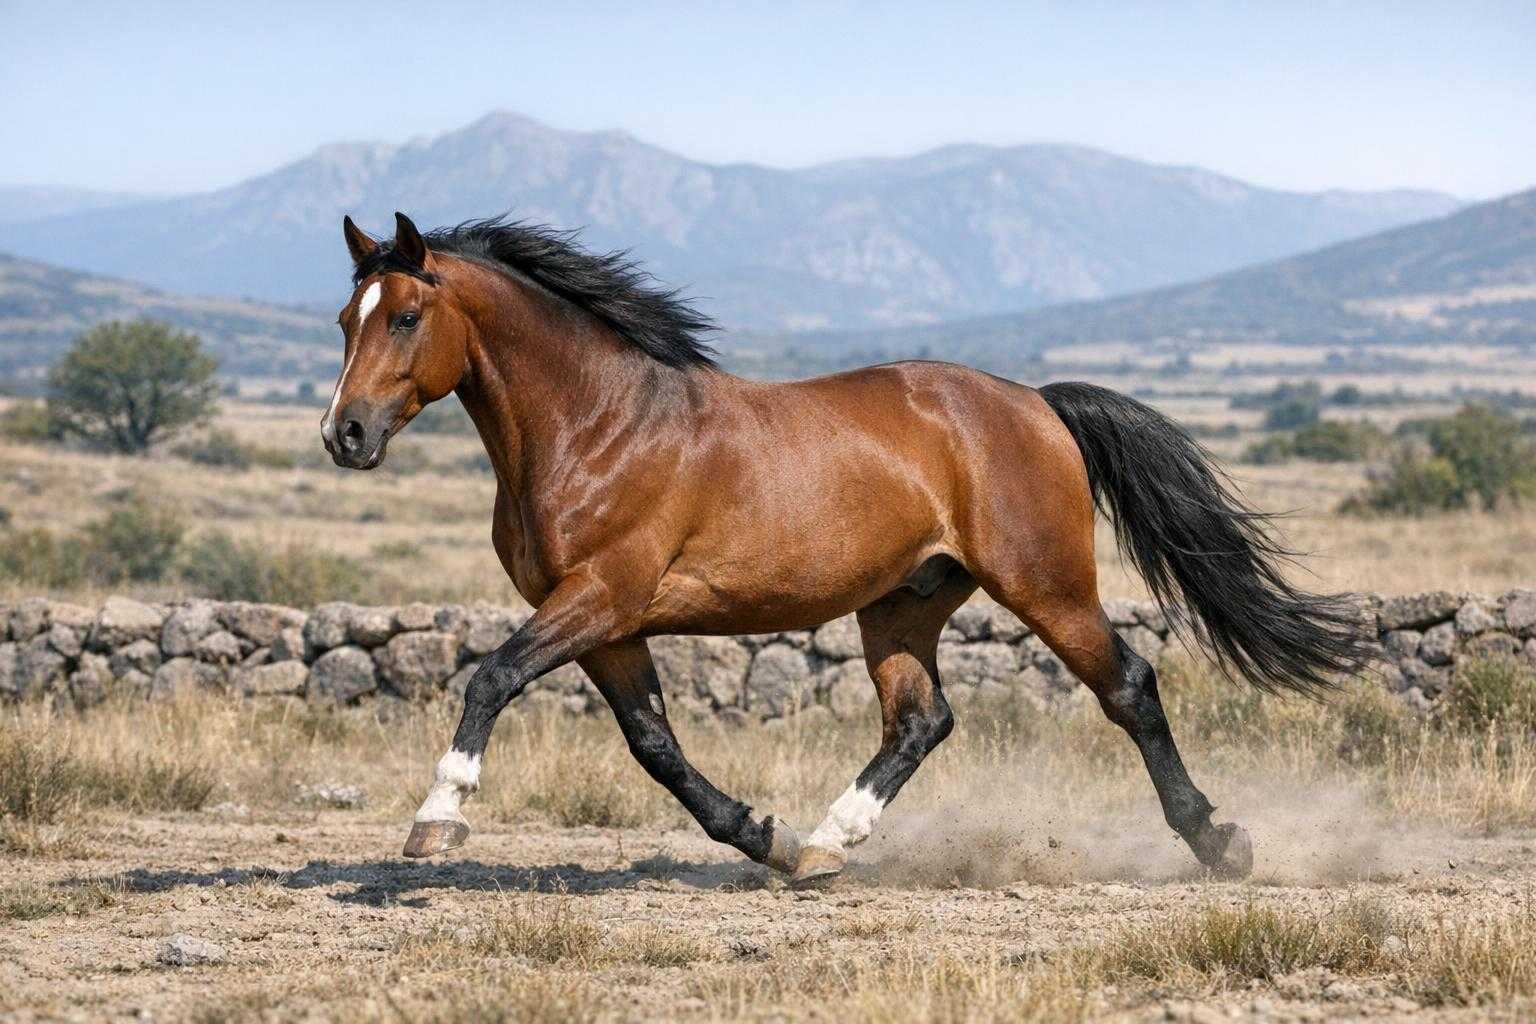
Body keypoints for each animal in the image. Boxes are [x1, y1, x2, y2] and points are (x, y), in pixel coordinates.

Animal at [323, 211, 1373, 885]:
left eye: (406, 316)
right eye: (344, 320)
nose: (346, 436)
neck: (594, 424)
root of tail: (1035, 403)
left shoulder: (602, 596)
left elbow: (492, 676)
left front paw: (436, 821)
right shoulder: (611, 624)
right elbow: (655, 746)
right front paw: (765, 836)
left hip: (1045, 584)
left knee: (1129, 687)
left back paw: (1219, 845)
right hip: (903, 602)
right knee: (921, 720)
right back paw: (828, 844)